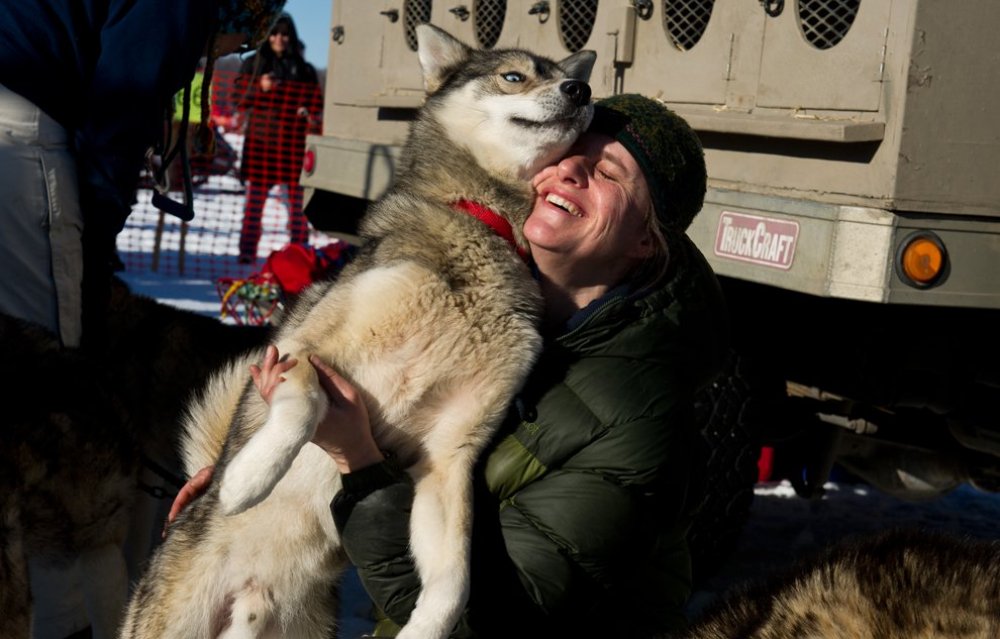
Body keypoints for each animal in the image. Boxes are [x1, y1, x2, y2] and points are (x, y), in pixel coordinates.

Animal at [122, 22, 596, 636]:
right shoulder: (300, 348)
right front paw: (248, 477)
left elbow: (454, 581)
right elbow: (306, 404)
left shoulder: (449, 457)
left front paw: (424, 628)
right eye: (513, 75)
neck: (486, 227)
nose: (580, 90)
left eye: (565, 75)